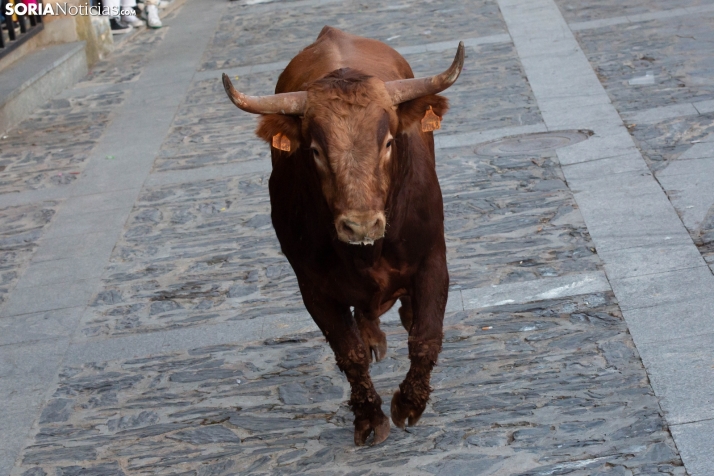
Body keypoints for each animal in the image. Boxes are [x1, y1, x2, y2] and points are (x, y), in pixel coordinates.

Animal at [224, 27, 468, 446]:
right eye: (316, 151)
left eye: (388, 142)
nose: (360, 225)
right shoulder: (313, 288)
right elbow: (348, 353)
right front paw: (369, 418)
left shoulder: (433, 261)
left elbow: (425, 337)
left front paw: (408, 405)